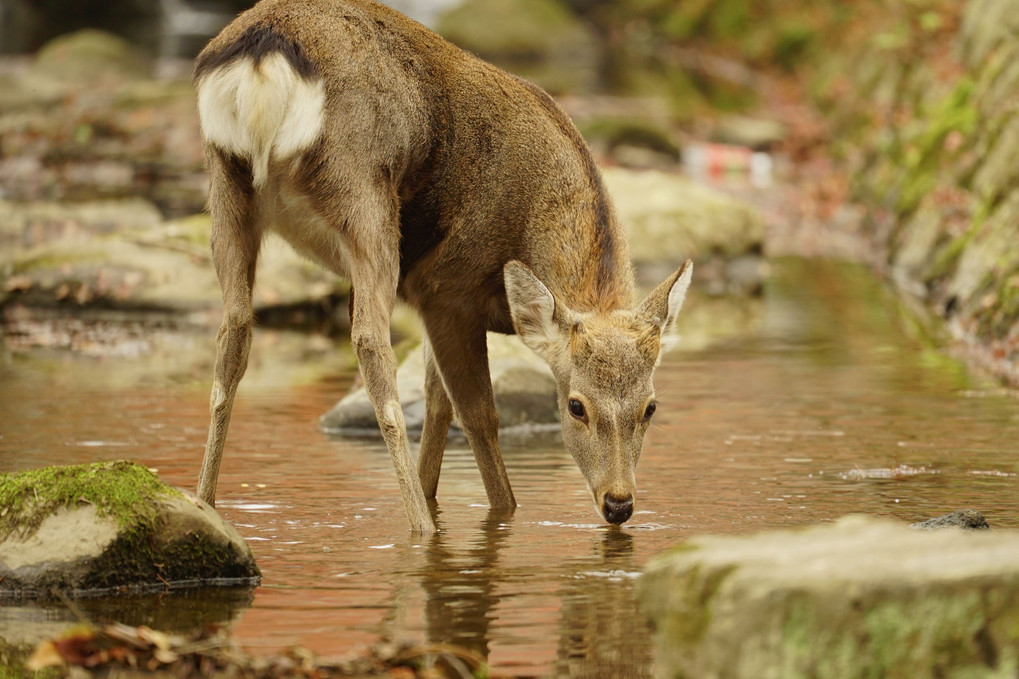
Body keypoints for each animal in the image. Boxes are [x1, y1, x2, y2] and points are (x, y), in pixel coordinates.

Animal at [191, 0, 692, 530]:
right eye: (576, 406)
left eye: (651, 407)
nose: (619, 504)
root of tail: (263, 51)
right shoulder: (445, 289)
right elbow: (477, 415)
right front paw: (500, 511)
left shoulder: (434, 305)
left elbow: (436, 406)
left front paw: (434, 493)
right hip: (365, 199)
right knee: (371, 346)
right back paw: (419, 527)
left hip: (226, 190)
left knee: (233, 335)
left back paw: (205, 504)